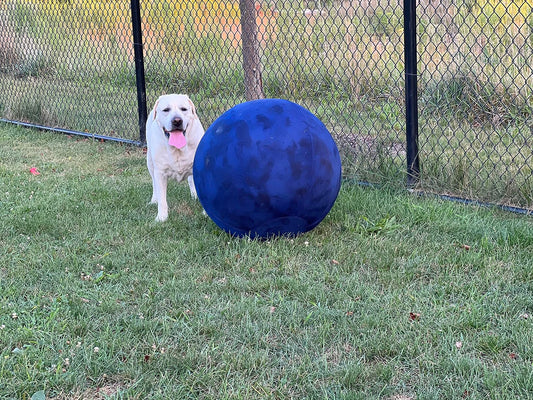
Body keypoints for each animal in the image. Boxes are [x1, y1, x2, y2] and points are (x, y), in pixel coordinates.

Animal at [144, 94, 205, 222]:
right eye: (166, 110)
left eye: (184, 109)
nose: (177, 120)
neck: (177, 149)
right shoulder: (160, 173)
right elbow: (162, 199)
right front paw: (162, 217)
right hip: (150, 162)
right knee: (154, 183)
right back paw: (153, 200)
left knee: (191, 180)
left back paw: (194, 195)